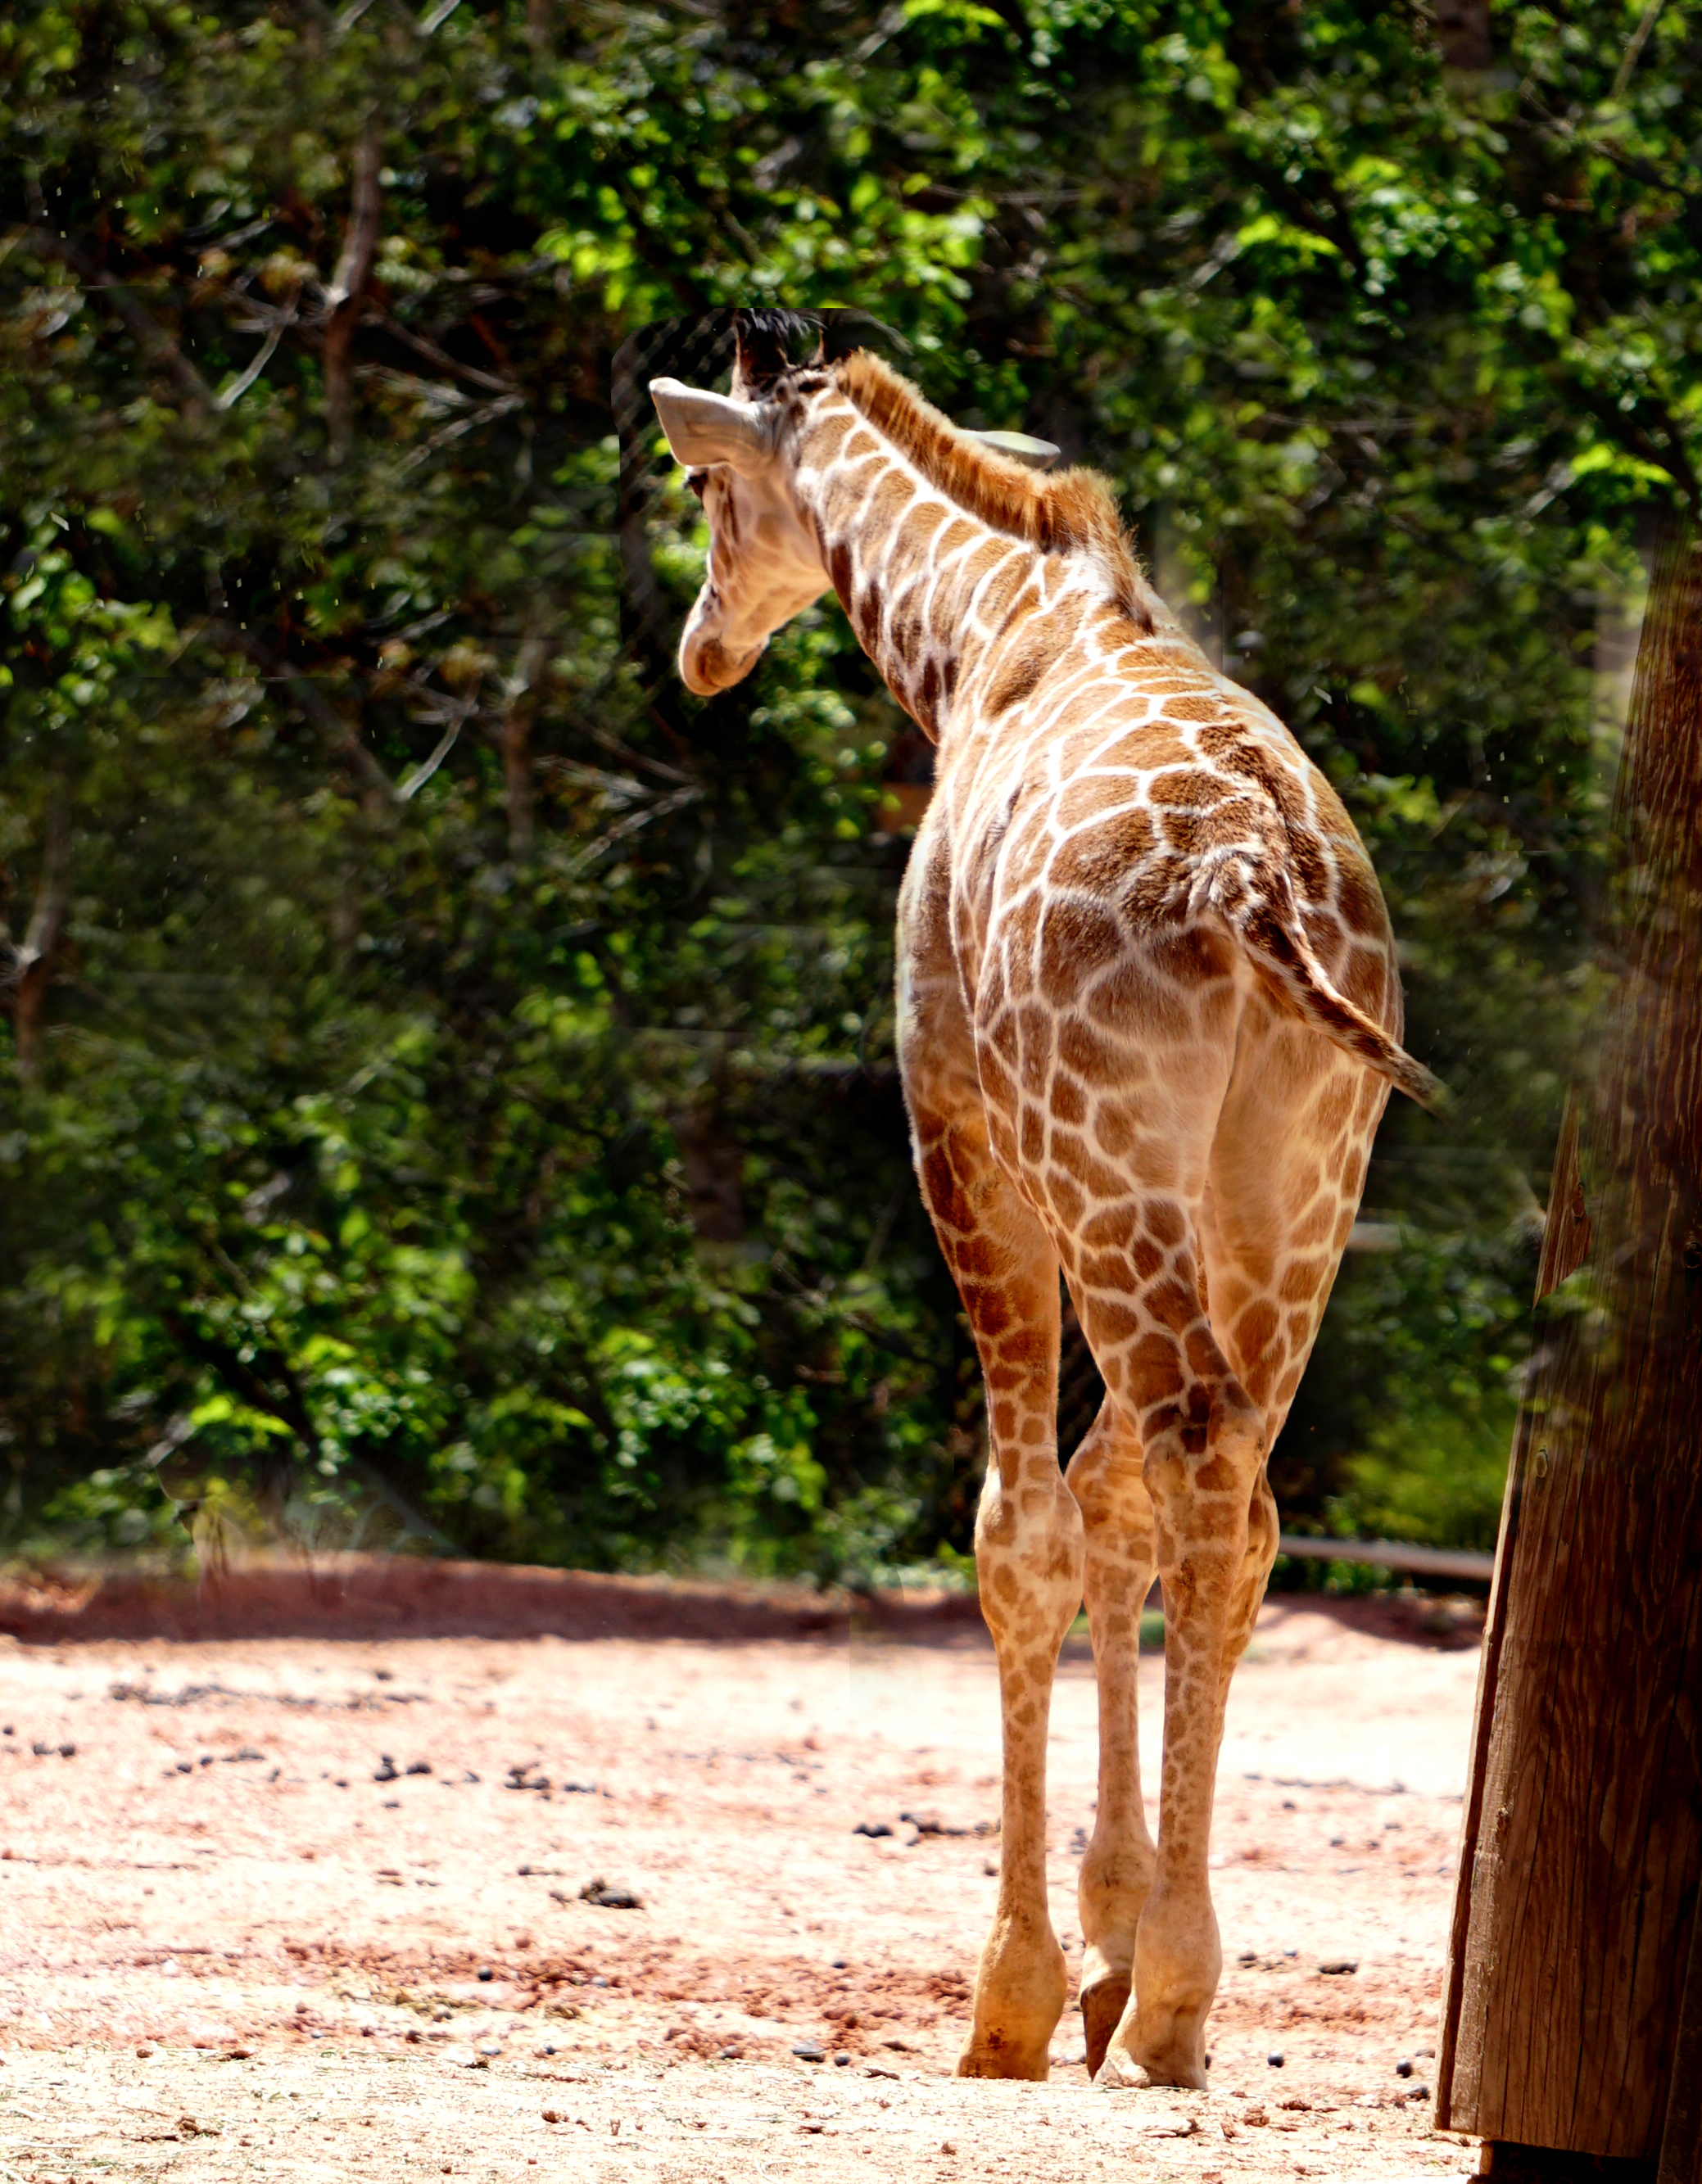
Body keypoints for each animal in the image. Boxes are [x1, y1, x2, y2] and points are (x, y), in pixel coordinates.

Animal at [648, 311, 1441, 2093]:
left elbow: (1018, 1528)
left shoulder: (962, 1128)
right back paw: (1168, 1985)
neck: (981, 640)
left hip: (1109, 1159)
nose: (699, 649)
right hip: (1292, 1185)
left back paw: (1170, 2002)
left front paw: (1017, 1991)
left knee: (1181, 1459)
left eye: (704, 489)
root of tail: (1251, 875)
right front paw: (1102, 1928)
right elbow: (1102, 1505)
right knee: (1233, 1490)